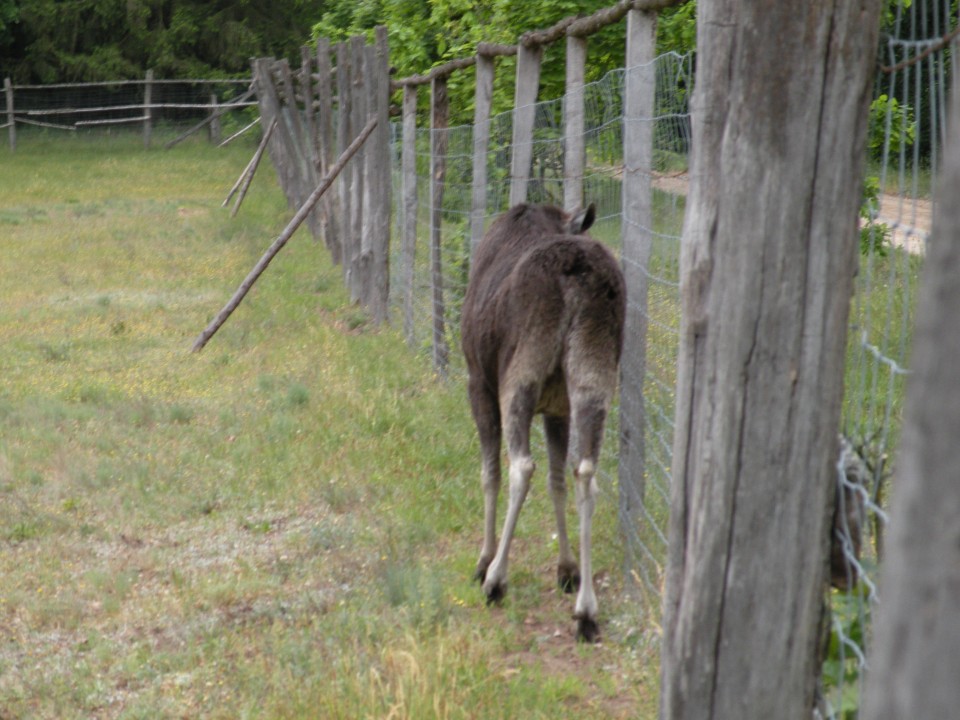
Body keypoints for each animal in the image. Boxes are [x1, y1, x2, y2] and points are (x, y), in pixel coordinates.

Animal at [462, 202, 628, 640]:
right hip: (594, 376)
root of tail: (577, 277)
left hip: (518, 376)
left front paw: (483, 559)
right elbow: (558, 481)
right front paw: (567, 568)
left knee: (521, 466)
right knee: (585, 472)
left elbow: (489, 474)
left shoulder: (478, 383)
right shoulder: (558, 409)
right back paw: (586, 610)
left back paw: (496, 579)